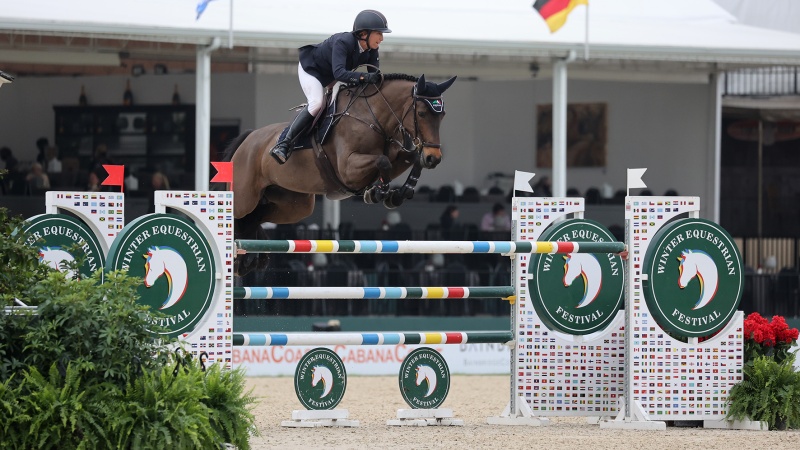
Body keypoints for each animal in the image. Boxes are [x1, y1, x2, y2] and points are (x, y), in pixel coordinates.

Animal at [220, 73, 456, 274]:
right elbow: (383, 162)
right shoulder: (348, 169)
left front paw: (398, 193)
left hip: (295, 205)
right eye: (421, 113)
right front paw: (379, 192)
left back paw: (250, 258)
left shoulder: (396, 154)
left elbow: (410, 158)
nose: (434, 157)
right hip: (245, 196)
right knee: (239, 213)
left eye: (443, 115)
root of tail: (249, 138)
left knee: (255, 216)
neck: (374, 118)